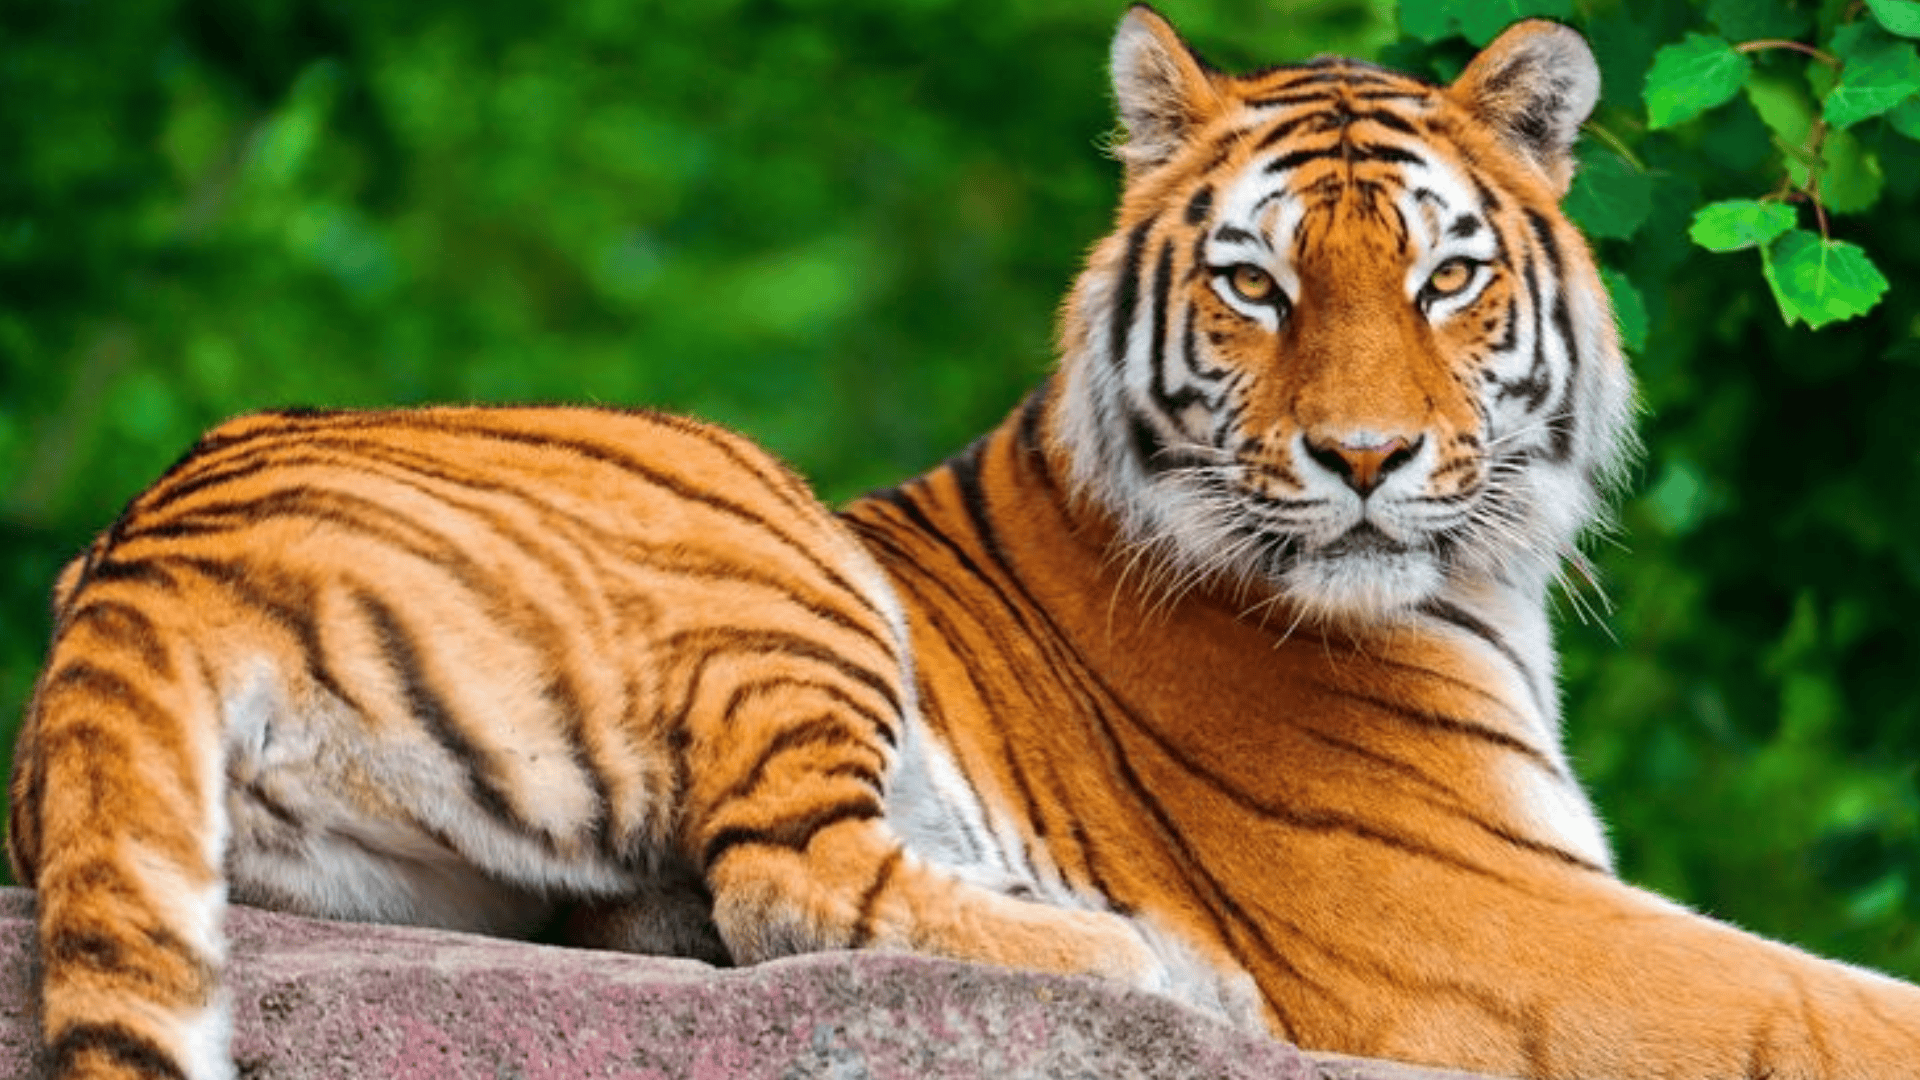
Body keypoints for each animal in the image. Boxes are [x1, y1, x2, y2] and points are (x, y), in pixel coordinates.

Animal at [11, 6, 1920, 1080]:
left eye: (1449, 276)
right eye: (1257, 284)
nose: (1366, 459)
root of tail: (142, 549)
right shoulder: (1483, 913)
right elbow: (1833, 1007)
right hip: (758, 530)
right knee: (786, 880)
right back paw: (1159, 974)